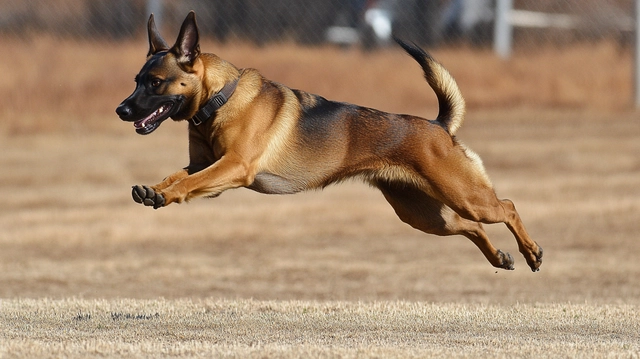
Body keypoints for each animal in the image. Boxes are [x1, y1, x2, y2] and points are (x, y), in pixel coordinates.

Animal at [116, 11, 544, 272]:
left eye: (155, 82)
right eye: (136, 80)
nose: (121, 109)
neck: (220, 98)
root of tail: (438, 125)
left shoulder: (233, 167)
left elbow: (187, 184)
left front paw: (164, 194)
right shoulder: (207, 166)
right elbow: (180, 177)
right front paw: (154, 189)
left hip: (463, 194)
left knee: (507, 207)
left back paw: (531, 252)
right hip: (424, 214)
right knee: (471, 227)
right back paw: (500, 258)